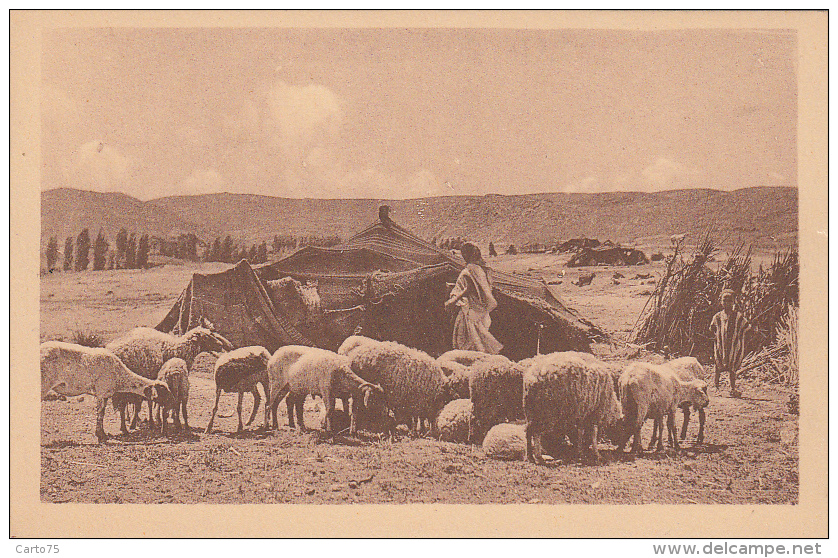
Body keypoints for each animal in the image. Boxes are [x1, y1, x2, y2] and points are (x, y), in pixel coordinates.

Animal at [41, 342, 171, 446]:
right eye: (164, 392)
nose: (171, 403)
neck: (120, 377)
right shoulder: (101, 392)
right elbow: (100, 414)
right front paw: (101, 436)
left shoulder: (105, 395)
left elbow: (102, 414)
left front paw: (102, 434)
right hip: (44, 384)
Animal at [107, 326, 236, 430]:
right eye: (206, 337)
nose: (220, 345)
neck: (179, 349)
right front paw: (167, 418)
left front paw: (158, 419)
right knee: (126, 404)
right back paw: (128, 424)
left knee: (127, 404)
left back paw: (130, 421)